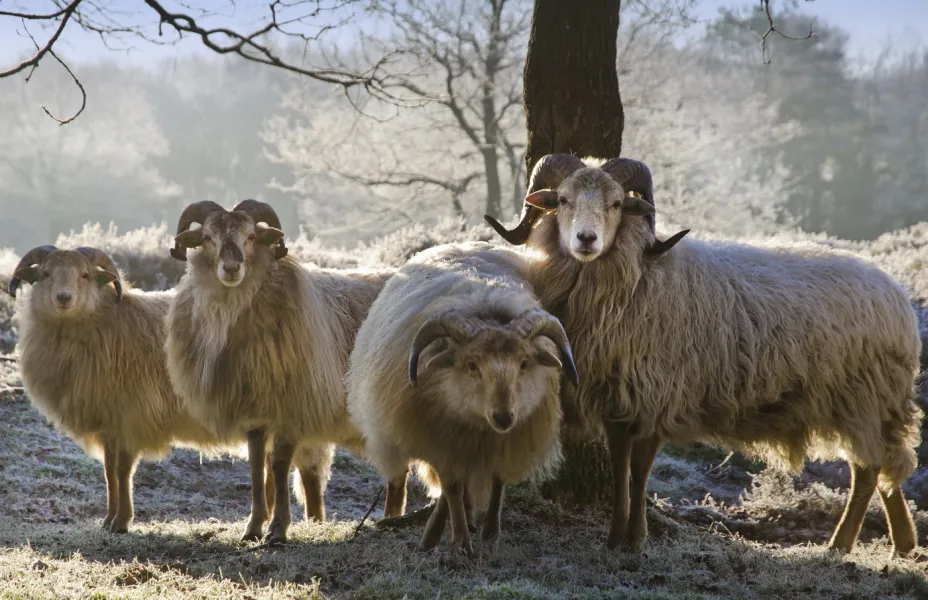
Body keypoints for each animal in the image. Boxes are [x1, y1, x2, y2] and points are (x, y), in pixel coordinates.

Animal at [165, 199, 400, 543]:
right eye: (207, 238)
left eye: (251, 236)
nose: (231, 268)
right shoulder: (254, 409)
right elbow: (256, 467)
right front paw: (253, 527)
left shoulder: (292, 404)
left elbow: (277, 464)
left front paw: (278, 528)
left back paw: (394, 518)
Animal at [346, 241, 578, 556]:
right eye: (471, 365)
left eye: (524, 363)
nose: (504, 416)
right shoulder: (443, 437)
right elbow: (453, 488)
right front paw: (460, 544)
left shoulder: (503, 441)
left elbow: (497, 481)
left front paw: (491, 532)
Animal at [484, 154, 923, 556]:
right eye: (562, 200)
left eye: (616, 203)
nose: (586, 239)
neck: (639, 276)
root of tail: (897, 295)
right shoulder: (618, 396)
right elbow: (619, 463)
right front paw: (614, 537)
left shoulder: (657, 393)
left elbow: (640, 469)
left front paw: (635, 539)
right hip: (868, 403)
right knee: (882, 467)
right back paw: (902, 544)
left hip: (865, 399)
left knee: (868, 472)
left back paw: (841, 544)